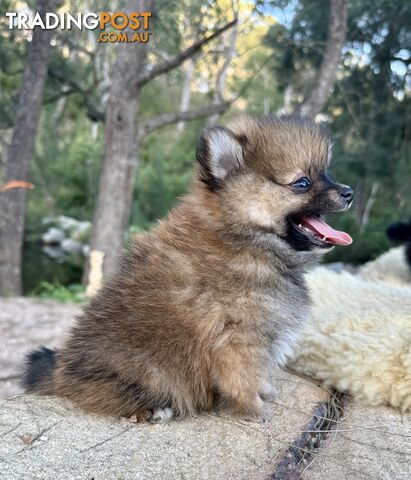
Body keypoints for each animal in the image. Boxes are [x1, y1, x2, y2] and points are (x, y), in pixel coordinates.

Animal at [25, 114, 354, 422]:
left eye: (327, 173)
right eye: (302, 183)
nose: (349, 192)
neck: (244, 240)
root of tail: (60, 371)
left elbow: (258, 373)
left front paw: (265, 391)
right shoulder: (237, 340)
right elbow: (244, 379)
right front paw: (254, 408)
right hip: (148, 370)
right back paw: (154, 410)